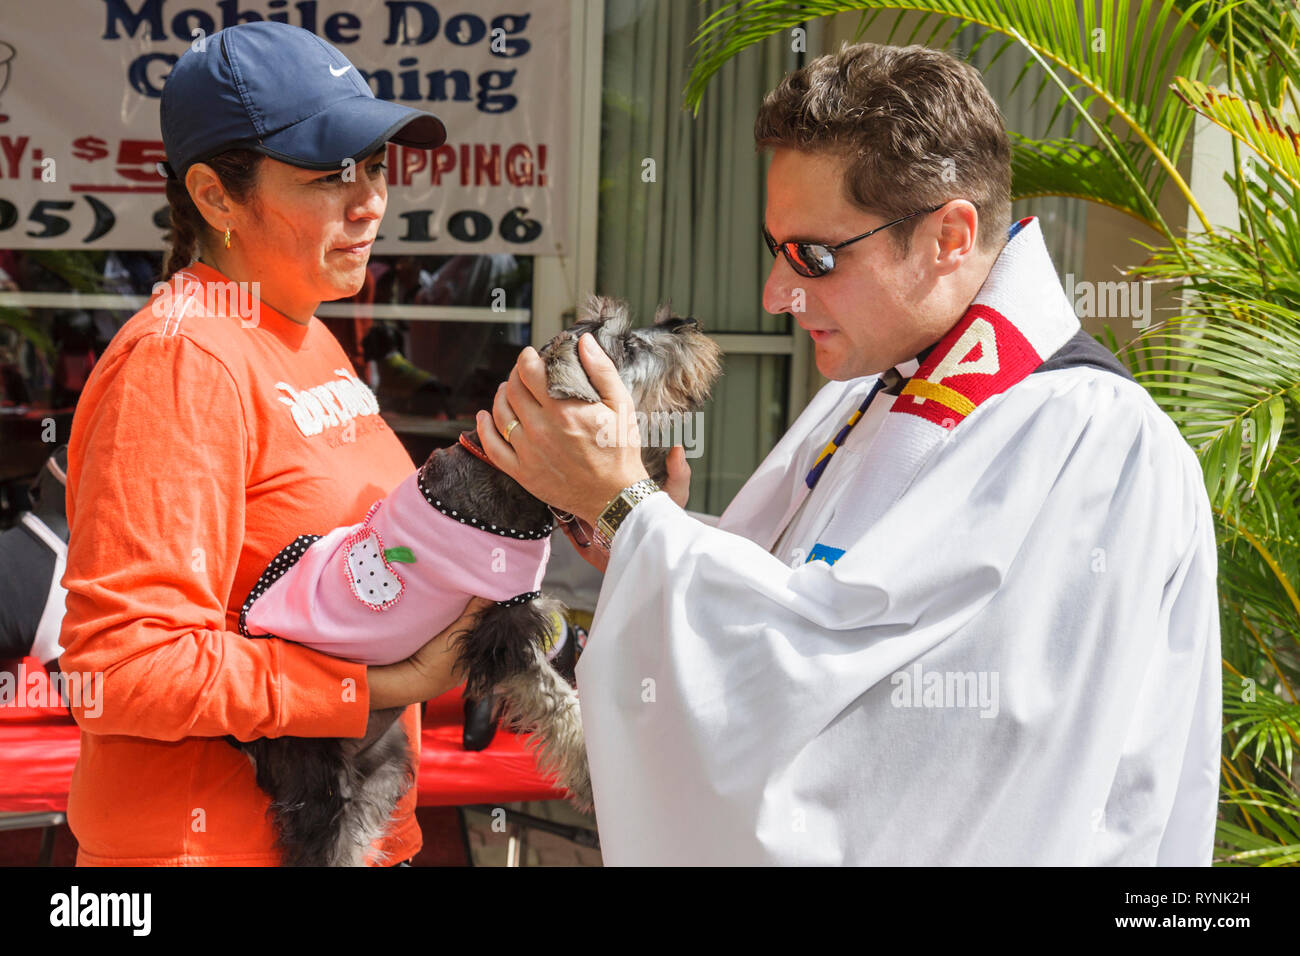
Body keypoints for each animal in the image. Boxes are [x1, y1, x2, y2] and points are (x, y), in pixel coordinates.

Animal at [231, 297, 722, 868]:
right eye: (627, 345)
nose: (686, 324)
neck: (509, 477)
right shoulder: (506, 631)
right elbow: (562, 705)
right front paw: (590, 772)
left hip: (382, 766)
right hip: (323, 781)